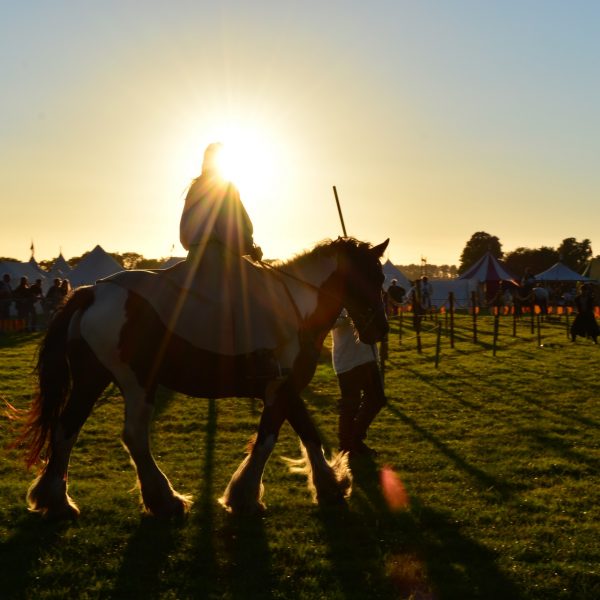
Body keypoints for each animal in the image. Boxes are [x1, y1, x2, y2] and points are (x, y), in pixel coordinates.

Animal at [19, 237, 390, 516]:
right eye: (370, 278)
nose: (380, 330)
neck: (297, 305)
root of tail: (92, 292)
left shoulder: (287, 388)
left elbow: (308, 433)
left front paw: (330, 485)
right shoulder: (279, 389)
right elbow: (267, 440)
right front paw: (244, 496)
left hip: (92, 379)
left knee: (66, 428)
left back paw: (55, 499)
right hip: (137, 382)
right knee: (133, 436)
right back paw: (164, 500)